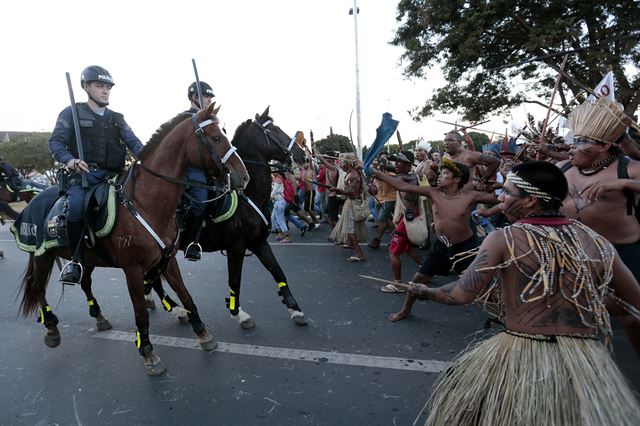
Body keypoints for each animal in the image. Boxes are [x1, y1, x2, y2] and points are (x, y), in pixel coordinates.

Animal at [15, 103, 248, 376]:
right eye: (216, 138)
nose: (243, 177)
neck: (145, 203)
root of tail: (33, 199)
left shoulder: (168, 260)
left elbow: (186, 295)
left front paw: (203, 334)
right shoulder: (133, 269)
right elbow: (141, 314)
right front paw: (148, 353)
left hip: (87, 258)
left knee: (85, 283)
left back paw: (99, 317)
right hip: (42, 255)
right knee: (39, 287)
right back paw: (51, 327)